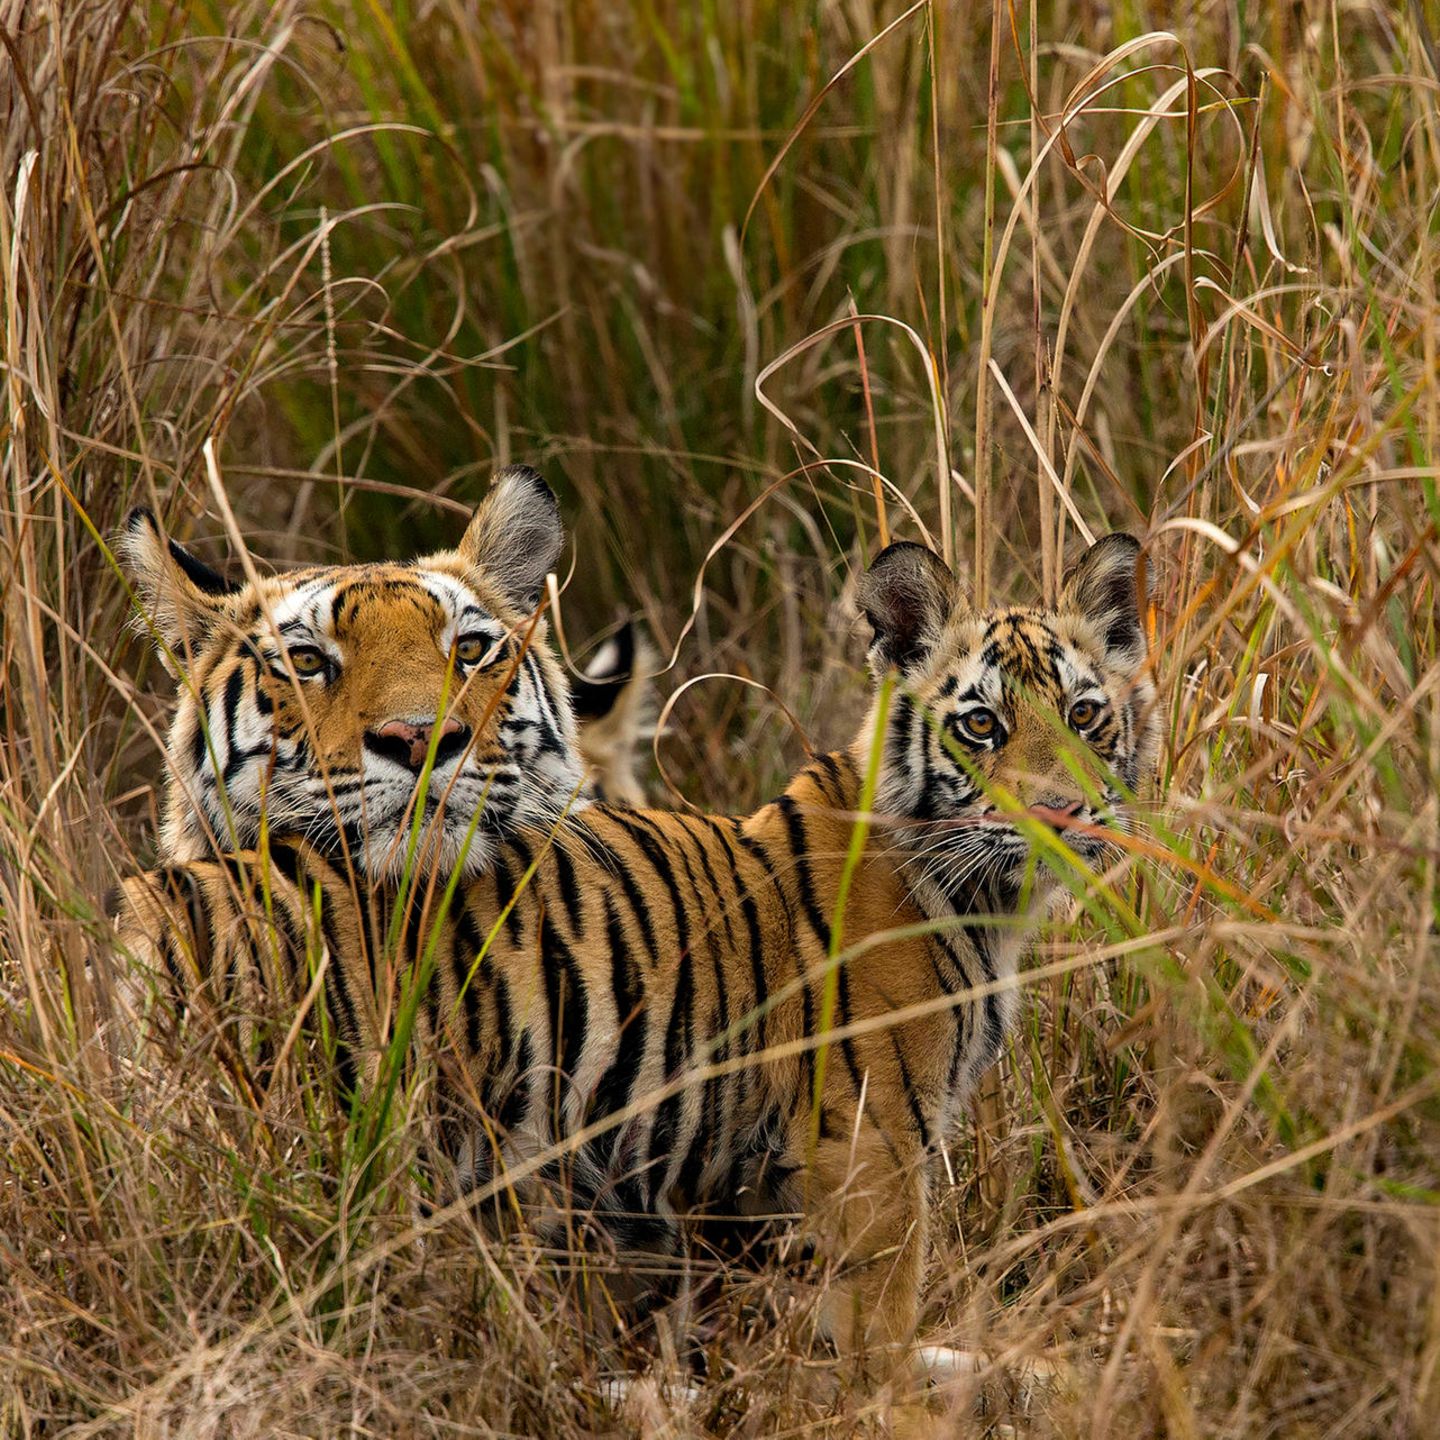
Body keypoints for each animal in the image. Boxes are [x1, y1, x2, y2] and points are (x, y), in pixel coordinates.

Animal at [112, 532, 1157, 1370]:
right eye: (982, 725)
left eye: (1086, 715)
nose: (1061, 814)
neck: (983, 904)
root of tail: (143, 903)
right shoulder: (871, 1155)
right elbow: (881, 1338)